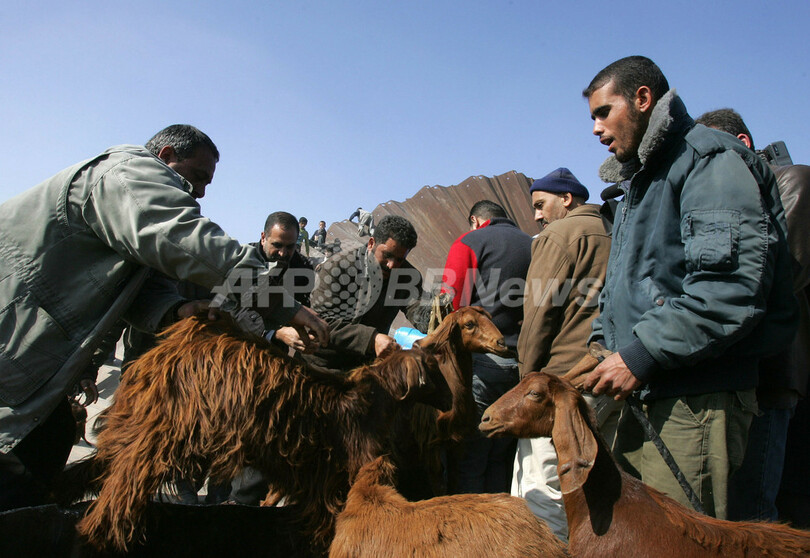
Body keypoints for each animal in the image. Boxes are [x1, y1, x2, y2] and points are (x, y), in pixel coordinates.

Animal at [74, 313, 451, 556]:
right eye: (433, 369)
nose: (451, 402)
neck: (375, 397)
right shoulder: (342, 476)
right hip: (163, 433)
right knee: (123, 487)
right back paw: (101, 536)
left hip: (138, 421)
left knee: (101, 466)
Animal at [391, 306, 514, 499]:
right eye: (469, 324)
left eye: (490, 317)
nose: (502, 344)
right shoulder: (431, 446)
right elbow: (438, 487)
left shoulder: (457, 441)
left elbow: (455, 479)